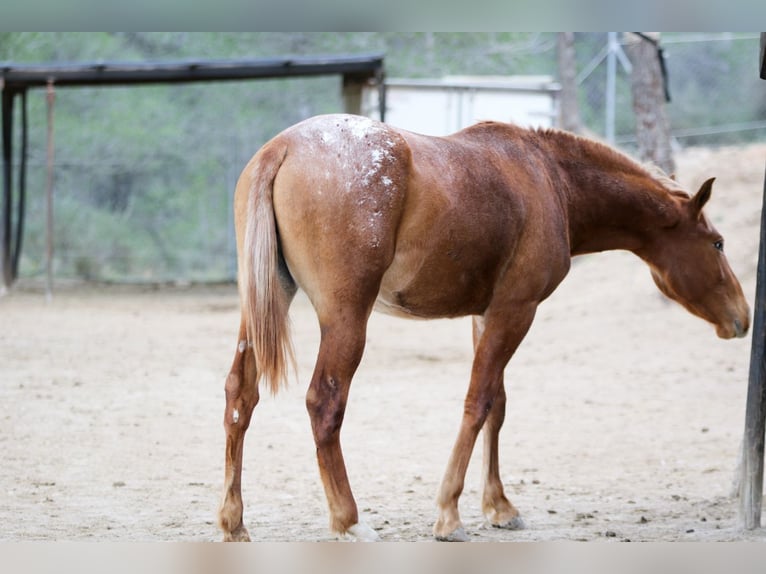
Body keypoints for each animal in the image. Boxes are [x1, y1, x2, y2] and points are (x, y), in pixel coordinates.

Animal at [216, 113, 752, 544]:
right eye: (719, 243)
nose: (742, 317)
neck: (549, 177)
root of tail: (281, 149)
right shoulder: (516, 310)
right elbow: (478, 403)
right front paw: (449, 515)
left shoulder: (488, 314)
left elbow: (497, 404)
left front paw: (498, 506)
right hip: (347, 320)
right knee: (325, 404)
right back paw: (349, 521)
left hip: (261, 309)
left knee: (241, 396)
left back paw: (233, 521)